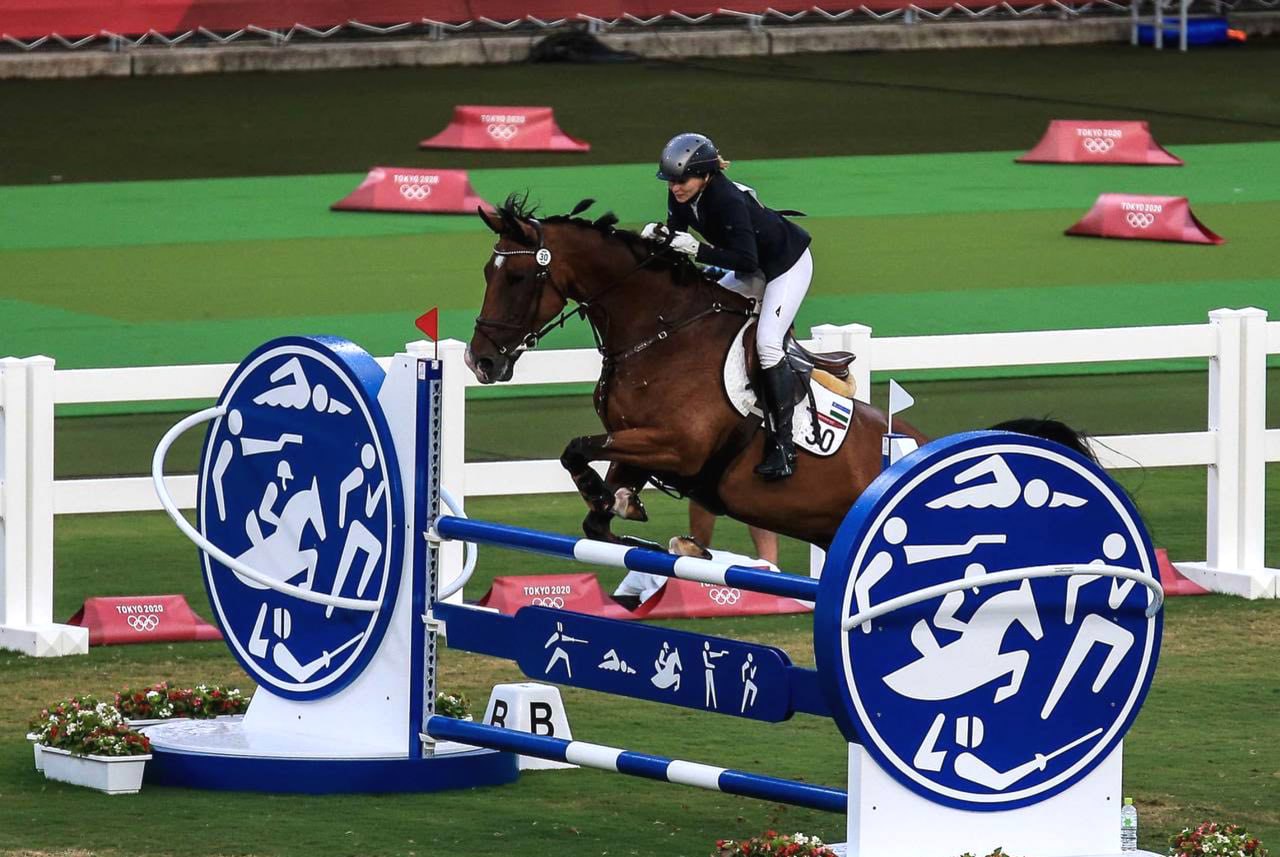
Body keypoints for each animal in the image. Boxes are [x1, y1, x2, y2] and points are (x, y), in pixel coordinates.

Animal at [465, 195, 1088, 550]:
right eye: (486, 273)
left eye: (516, 278)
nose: (481, 361)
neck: (660, 332)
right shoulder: (633, 441)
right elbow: (595, 499)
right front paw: (623, 509)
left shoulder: (677, 444)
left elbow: (577, 449)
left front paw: (623, 509)